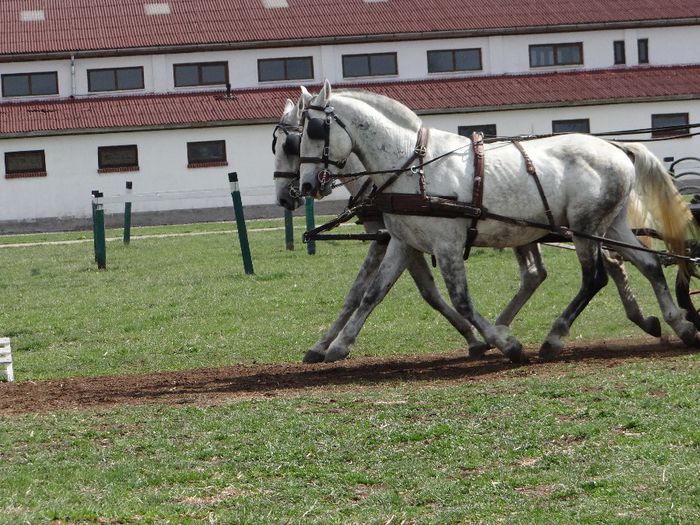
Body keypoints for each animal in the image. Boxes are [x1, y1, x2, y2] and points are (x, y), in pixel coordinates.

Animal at [298, 82, 696, 362]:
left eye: (314, 130)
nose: (304, 186)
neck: (413, 166)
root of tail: (615, 146)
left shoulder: (448, 245)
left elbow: (461, 300)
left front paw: (505, 343)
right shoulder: (402, 242)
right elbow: (372, 294)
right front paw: (339, 345)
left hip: (586, 228)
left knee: (595, 277)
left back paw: (555, 337)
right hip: (611, 225)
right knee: (650, 265)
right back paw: (680, 324)